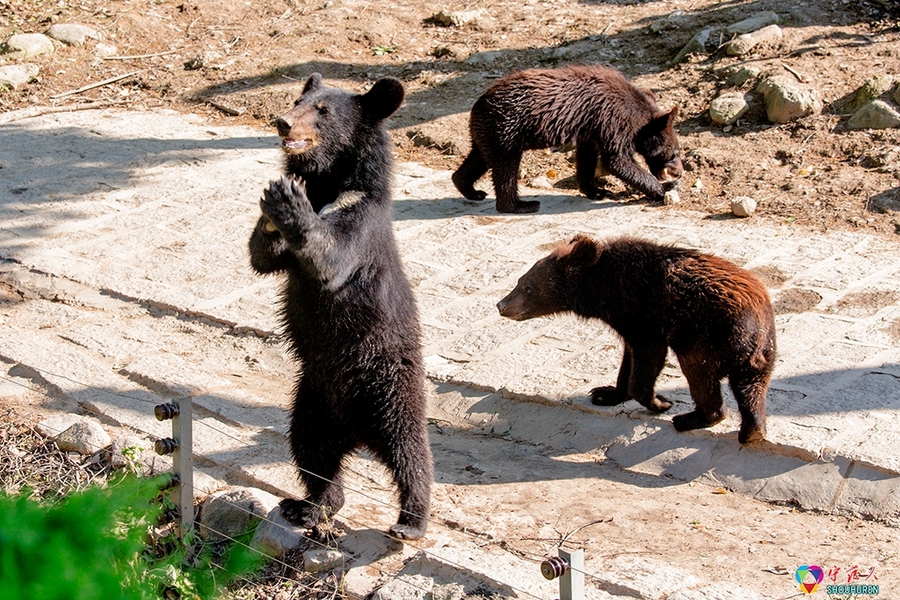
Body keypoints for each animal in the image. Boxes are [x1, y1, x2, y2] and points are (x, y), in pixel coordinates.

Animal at [244, 72, 430, 540]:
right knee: (312, 452)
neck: (331, 181)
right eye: (297, 101)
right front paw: (274, 201)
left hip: (389, 387)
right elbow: (263, 258)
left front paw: (287, 201)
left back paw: (410, 521)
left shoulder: (360, 218)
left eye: (323, 111)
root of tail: (356, 432)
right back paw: (310, 506)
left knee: (410, 451)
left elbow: (331, 258)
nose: (282, 122)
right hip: (312, 399)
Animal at [454, 64, 684, 214]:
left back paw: (471, 189)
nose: (679, 172)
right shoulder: (612, 119)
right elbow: (618, 160)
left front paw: (597, 190)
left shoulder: (592, 129)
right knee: (505, 167)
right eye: (675, 153)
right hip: (506, 130)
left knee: (480, 158)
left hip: (489, 133)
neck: (638, 119)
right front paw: (666, 187)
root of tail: (476, 105)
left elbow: (587, 157)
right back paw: (521, 205)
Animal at [496, 236, 776, 446]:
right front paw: (605, 393)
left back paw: (691, 418)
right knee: (751, 387)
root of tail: (756, 326)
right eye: (520, 280)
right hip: (759, 354)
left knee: (699, 373)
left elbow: (647, 354)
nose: (501, 305)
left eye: (529, 288)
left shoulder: (642, 311)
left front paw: (659, 402)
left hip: (705, 337)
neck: (600, 287)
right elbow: (628, 356)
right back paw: (753, 430)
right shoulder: (626, 319)